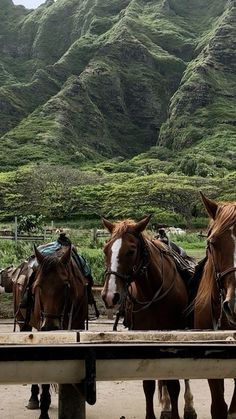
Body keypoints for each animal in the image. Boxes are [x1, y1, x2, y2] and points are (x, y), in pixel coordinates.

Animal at [13, 244, 89, 418]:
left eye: (65, 285)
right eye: (38, 286)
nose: (50, 327)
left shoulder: (78, 326)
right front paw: (44, 411)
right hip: (24, 324)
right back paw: (34, 398)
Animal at [100, 217, 196, 419]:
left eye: (131, 250)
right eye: (106, 249)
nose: (109, 295)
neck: (153, 292)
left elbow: (174, 382)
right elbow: (149, 385)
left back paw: (189, 406)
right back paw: (166, 406)